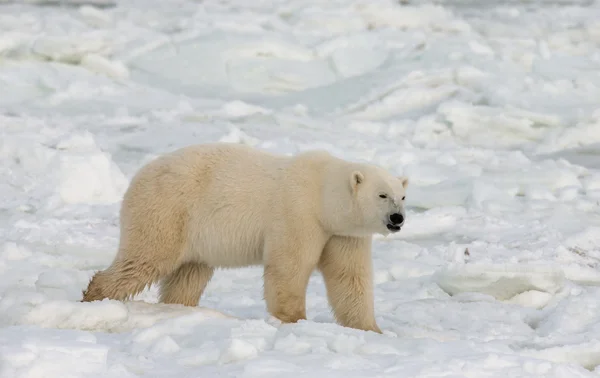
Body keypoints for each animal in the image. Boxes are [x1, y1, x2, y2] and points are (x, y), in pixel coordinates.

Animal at [82, 142, 408, 334]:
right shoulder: (297, 213)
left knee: (189, 274)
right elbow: (288, 266)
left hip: (193, 234)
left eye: (403, 196)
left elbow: (349, 278)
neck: (323, 196)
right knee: (146, 258)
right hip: (167, 210)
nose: (397, 219)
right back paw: (95, 297)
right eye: (382, 195)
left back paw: (179, 308)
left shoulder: (343, 233)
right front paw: (294, 319)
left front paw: (371, 329)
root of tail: (138, 176)